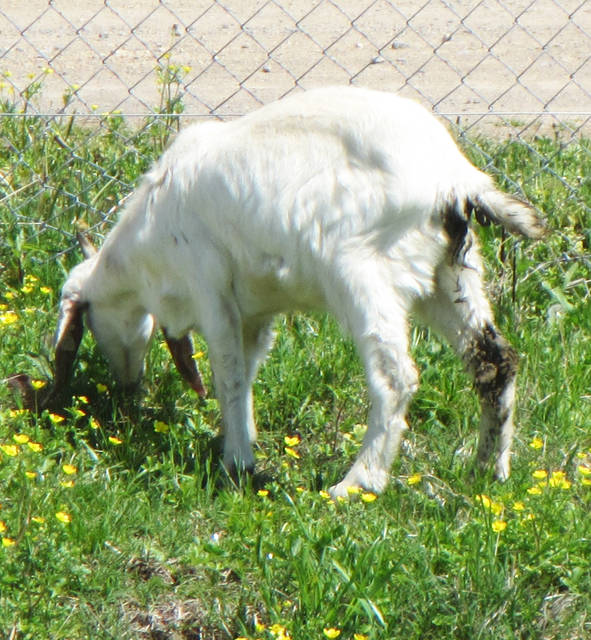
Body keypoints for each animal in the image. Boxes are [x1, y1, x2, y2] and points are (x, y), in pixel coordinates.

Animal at [49, 86, 546, 498]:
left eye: (88, 319)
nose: (127, 387)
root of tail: (454, 178)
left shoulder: (210, 286)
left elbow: (228, 374)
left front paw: (236, 464)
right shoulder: (254, 309)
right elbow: (247, 369)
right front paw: (237, 440)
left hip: (362, 271)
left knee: (395, 377)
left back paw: (357, 483)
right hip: (448, 276)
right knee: (495, 362)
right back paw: (488, 471)